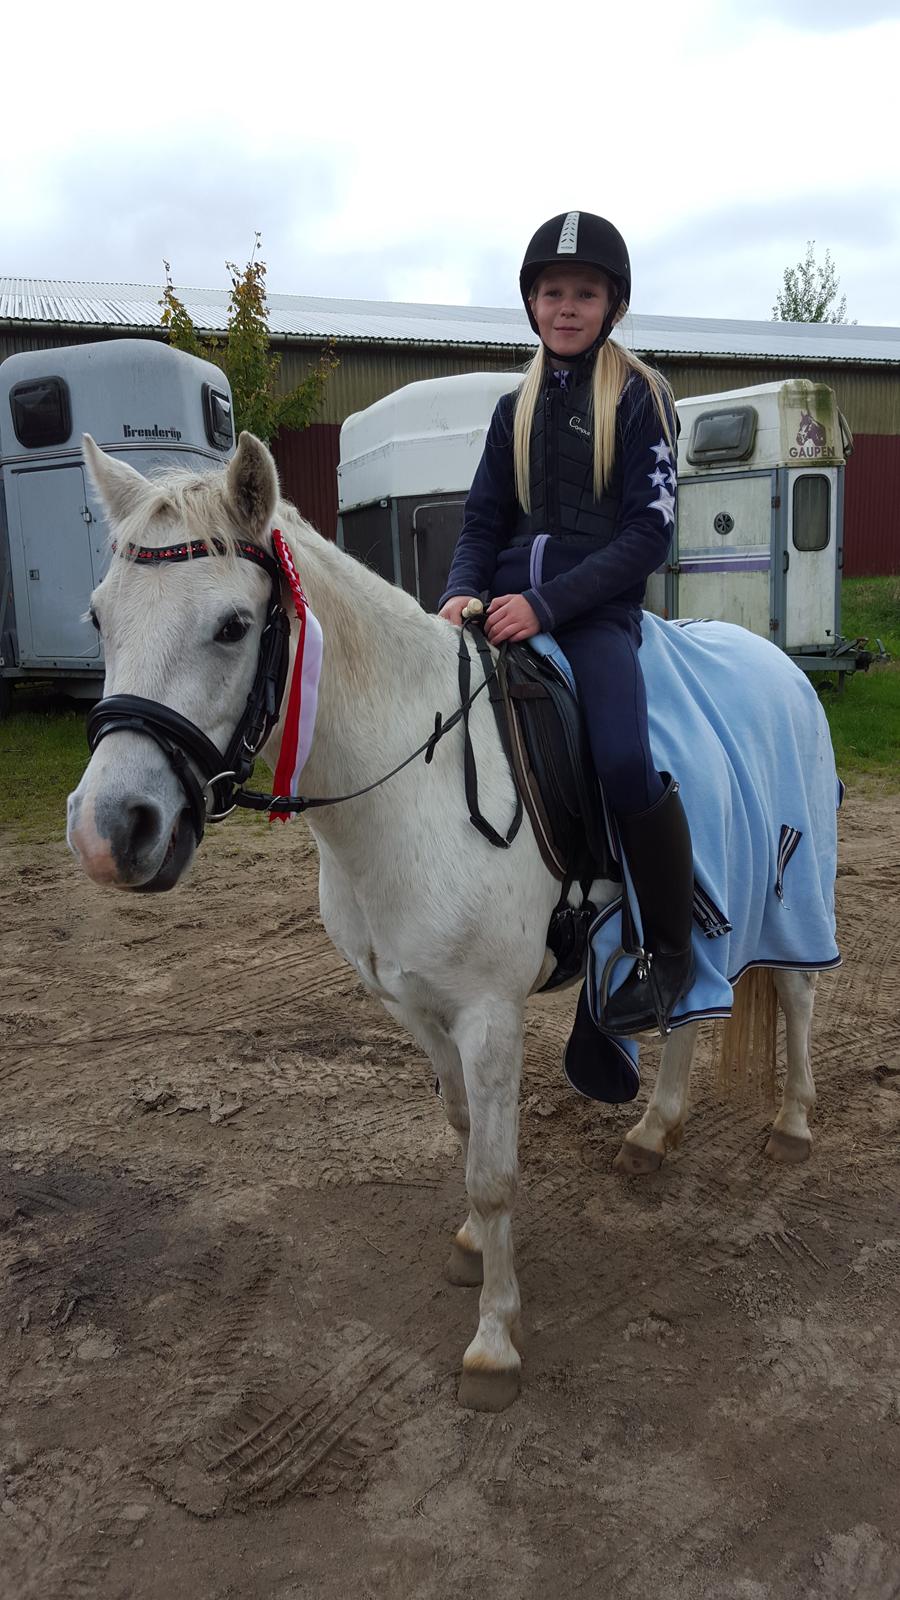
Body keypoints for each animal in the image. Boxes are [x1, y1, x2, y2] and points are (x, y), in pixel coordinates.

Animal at [67, 431, 830, 1413]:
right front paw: (472, 1248)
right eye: (99, 620)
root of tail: (776, 662)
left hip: (792, 888)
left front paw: (495, 1342)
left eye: (233, 626)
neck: (412, 783)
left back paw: (793, 1125)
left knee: (800, 998)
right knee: (683, 1011)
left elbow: (495, 1174)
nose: (108, 832)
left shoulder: (489, 1017)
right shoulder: (415, 1008)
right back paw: (654, 1132)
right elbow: (464, 1133)